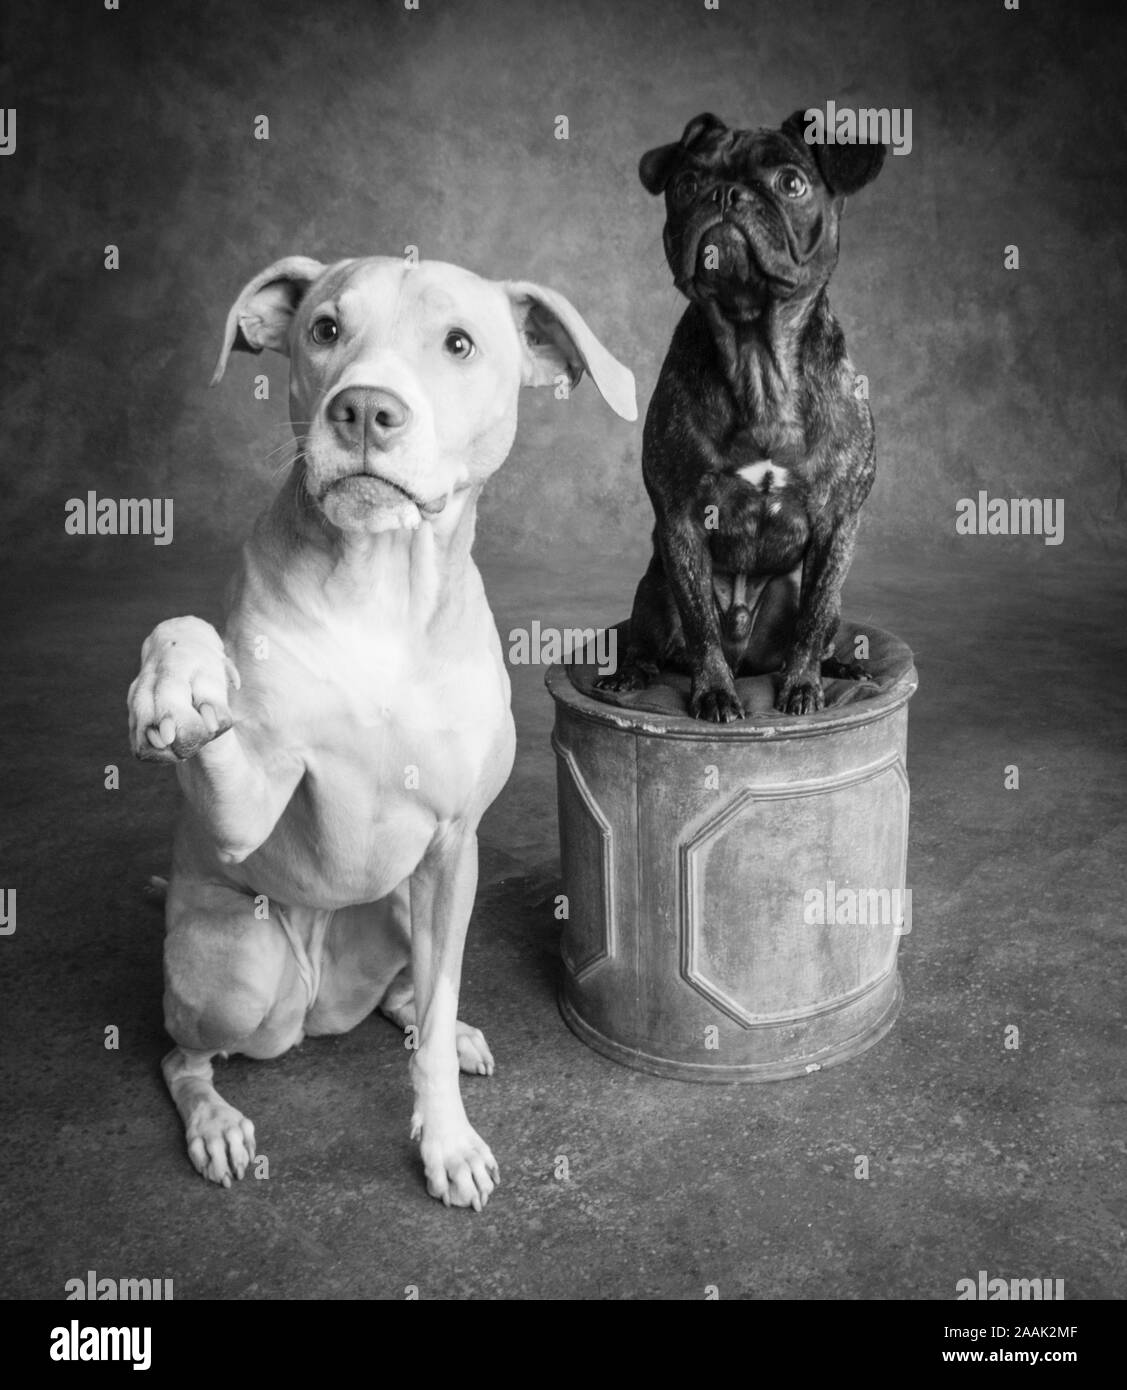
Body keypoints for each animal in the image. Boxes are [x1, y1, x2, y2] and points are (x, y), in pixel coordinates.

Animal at [600, 109, 889, 722]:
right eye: (686, 185)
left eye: (791, 183)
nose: (725, 194)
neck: (757, 355)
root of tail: (748, 657)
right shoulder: (681, 522)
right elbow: (700, 625)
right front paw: (713, 693)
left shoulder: (838, 524)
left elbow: (812, 618)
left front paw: (801, 687)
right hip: (653, 587)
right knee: (650, 640)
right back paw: (629, 675)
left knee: (821, 624)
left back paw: (839, 668)